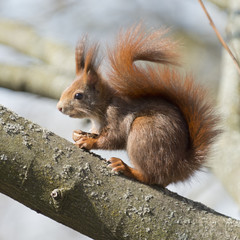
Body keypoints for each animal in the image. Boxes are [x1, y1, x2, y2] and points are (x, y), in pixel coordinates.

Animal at [56, 24, 219, 187]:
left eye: (78, 95)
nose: (59, 108)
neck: (104, 104)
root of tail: (179, 167)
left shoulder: (117, 114)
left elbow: (114, 137)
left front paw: (89, 142)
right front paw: (79, 134)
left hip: (144, 131)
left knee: (152, 176)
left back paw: (126, 168)